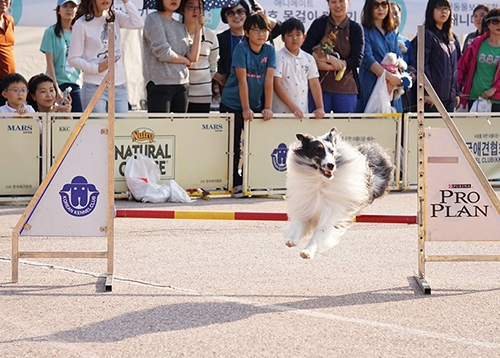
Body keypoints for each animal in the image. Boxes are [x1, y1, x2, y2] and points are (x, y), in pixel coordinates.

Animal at [286, 127, 394, 258]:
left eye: (332, 152)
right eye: (317, 151)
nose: (331, 165)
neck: (320, 181)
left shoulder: (332, 211)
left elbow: (320, 232)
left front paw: (307, 251)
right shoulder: (305, 205)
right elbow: (298, 223)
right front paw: (291, 240)